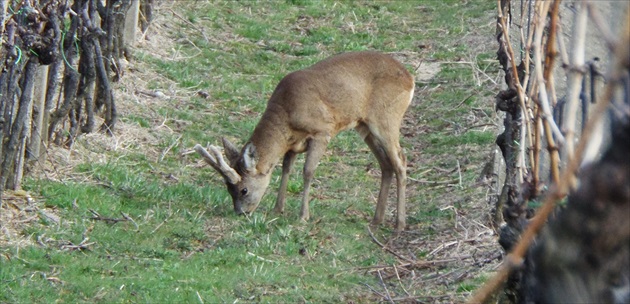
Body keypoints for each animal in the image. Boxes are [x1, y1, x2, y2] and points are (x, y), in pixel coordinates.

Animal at [195, 50, 418, 230]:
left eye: (243, 189)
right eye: (228, 189)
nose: (241, 212)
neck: (287, 113)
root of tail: (410, 78)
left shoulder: (323, 131)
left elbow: (308, 171)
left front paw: (303, 216)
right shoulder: (293, 144)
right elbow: (286, 169)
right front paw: (277, 209)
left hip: (386, 118)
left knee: (401, 161)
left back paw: (399, 224)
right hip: (364, 126)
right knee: (386, 164)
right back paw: (376, 220)